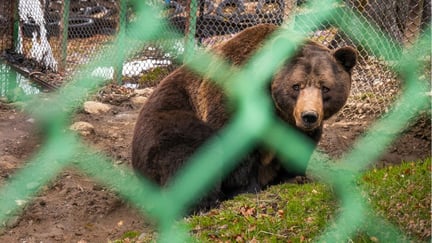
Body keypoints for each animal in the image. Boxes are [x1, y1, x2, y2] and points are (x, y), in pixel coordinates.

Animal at [132, 24, 358, 211]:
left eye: (325, 88)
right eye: (296, 86)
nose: (309, 116)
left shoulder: (294, 126)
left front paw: (294, 178)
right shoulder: (232, 96)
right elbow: (236, 149)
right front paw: (246, 189)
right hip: (168, 122)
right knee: (191, 153)